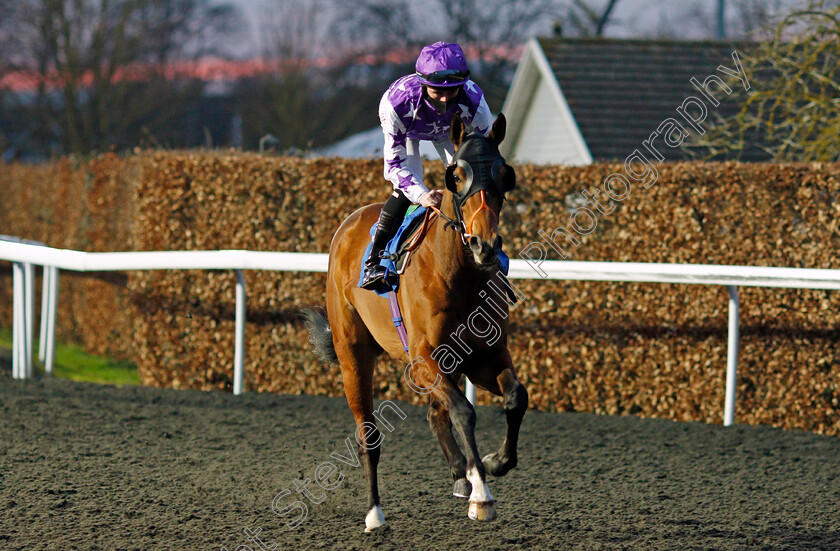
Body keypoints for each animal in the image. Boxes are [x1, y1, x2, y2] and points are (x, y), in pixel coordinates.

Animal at [302, 114, 528, 532]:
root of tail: (349, 224)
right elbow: (463, 412)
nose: (485, 245)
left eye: (504, 174)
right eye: (456, 176)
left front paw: (493, 463)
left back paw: (459, 473)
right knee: (368, 434)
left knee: (436, 413)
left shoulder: (484, 357)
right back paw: (375, 513)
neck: (457, 273)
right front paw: (482, 494)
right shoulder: (424, 358)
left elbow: (515, 398)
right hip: (352, 354)